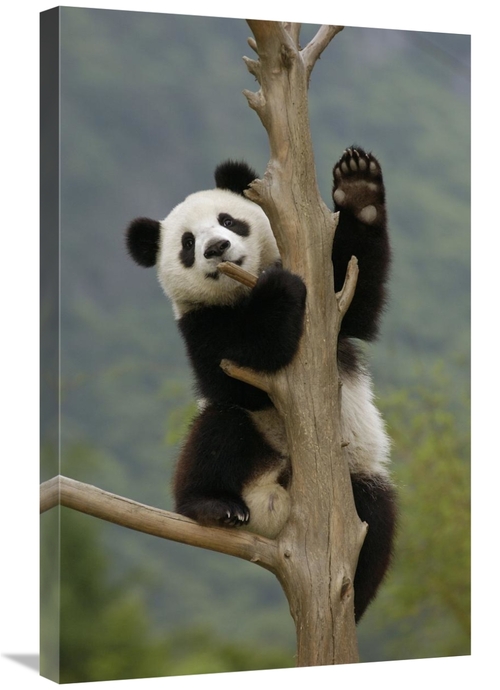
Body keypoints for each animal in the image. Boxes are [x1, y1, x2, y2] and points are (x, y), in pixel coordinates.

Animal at [125, 146, 397, 622]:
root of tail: (275, 510)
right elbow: (239, 376)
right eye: (187, 244)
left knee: (375, 516)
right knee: (220, 429)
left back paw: (352, 602)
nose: (217, 248)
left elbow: (354, 290)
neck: (240, 293)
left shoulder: (330, 314)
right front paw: (278, 290)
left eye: (229, 220)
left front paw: (358, 187)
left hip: (354, 476)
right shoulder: (199, 324)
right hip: (249, 448)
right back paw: (212, 506)